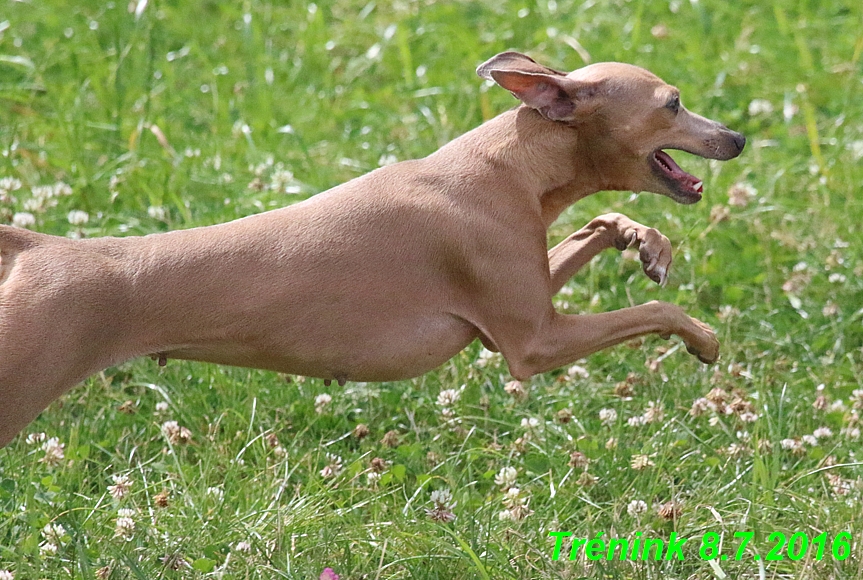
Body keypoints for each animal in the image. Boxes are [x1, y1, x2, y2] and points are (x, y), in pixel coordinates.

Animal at [0, 52, 744, 446]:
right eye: (672, 103)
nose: (736, 137)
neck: (507, 164)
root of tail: (34, 244)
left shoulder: (522, 308)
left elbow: (604, 225)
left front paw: (643, 242)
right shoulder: (534, 343)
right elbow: (656, 312)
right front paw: (703, 338)